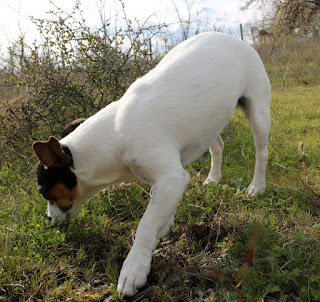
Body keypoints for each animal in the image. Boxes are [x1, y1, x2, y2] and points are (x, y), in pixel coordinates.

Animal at [32, 32, 272, 298]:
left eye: (43, 191)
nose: (49, 219)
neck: (115, 136)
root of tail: (232, 37)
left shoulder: (170, 178)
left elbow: (146, 224)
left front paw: (135, 266)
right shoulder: (169, 180)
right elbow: (161, 211)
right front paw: (165, 224)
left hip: (257, 110)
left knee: (261, 152)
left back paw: (256, 187)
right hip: (210, 123)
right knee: (217, 145)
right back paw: (213, 178)